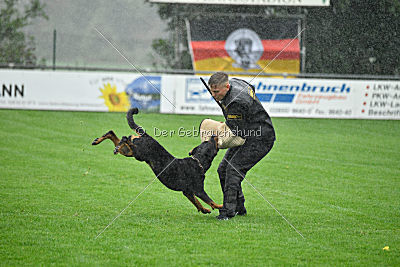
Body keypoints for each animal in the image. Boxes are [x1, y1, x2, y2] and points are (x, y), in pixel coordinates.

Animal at [92, 108, 222, 215]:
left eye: (207, 142)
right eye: (211, 143)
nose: (214, 135)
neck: (197, 161)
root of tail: (146, 135)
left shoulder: (187, 191)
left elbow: (196, 202)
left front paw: (204, 210)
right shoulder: (199, 190)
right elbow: (211, 201)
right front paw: (221, 206)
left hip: (130, 152)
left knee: (114, 134)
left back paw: (103, 142)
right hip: (138, 152)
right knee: (126, 138)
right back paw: (122, 141)